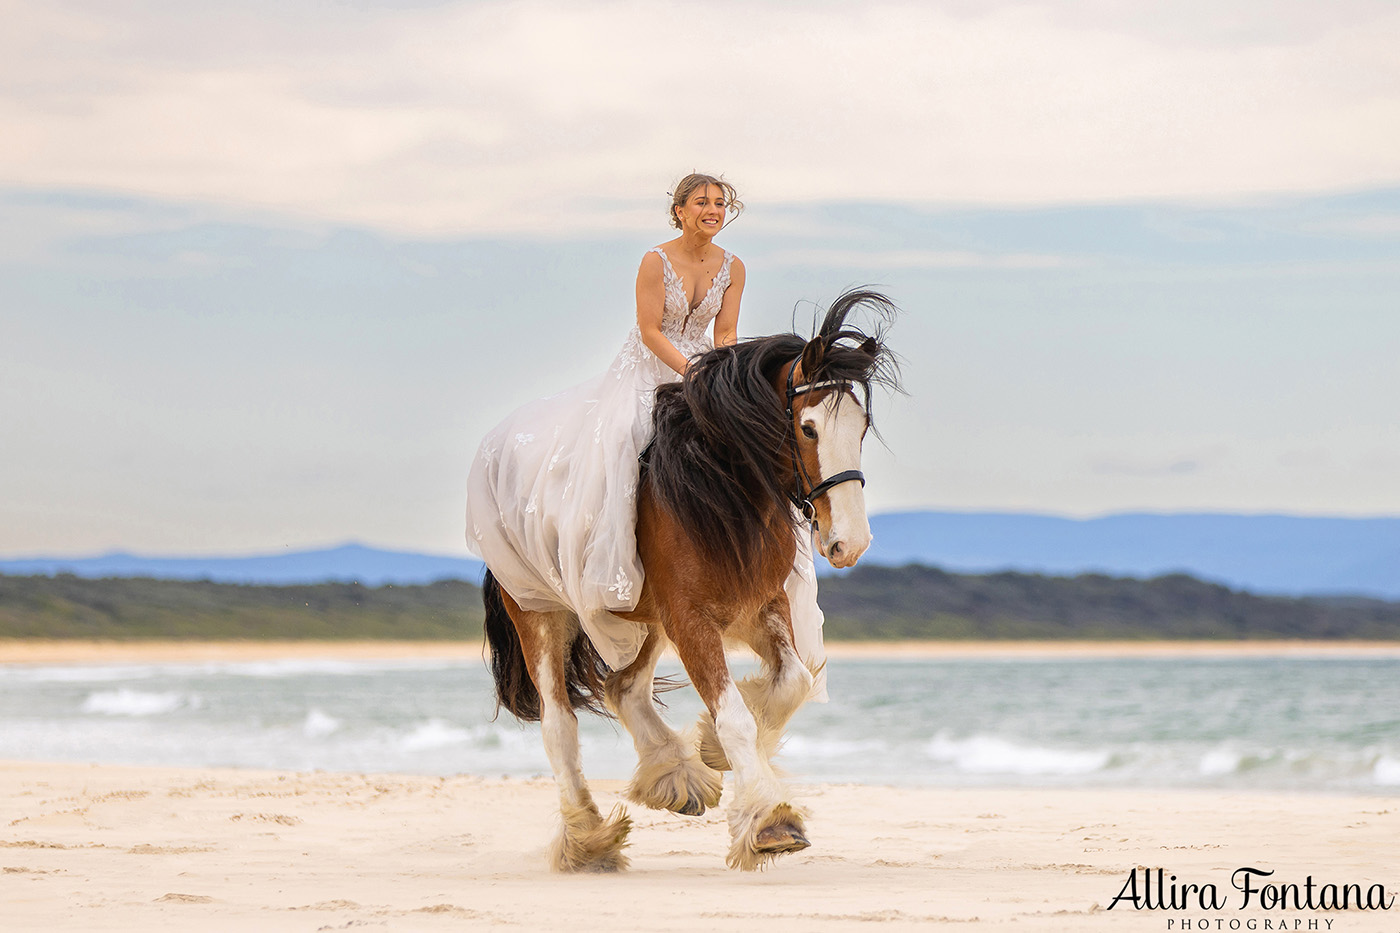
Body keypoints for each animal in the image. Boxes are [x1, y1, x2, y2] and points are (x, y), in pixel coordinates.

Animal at [478, 287, 896, 868]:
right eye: (808, 428)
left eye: (860, 427)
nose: (849, 543)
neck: (714, 485)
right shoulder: (692, 618)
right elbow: (735, 715)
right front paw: (771, 820)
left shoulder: (757, 605)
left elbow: (792, 682)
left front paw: (715, 753)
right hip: (541, 611)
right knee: (559, 725)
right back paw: (590, 838)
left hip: (643, 617)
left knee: (624, 688)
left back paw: (676, 776)